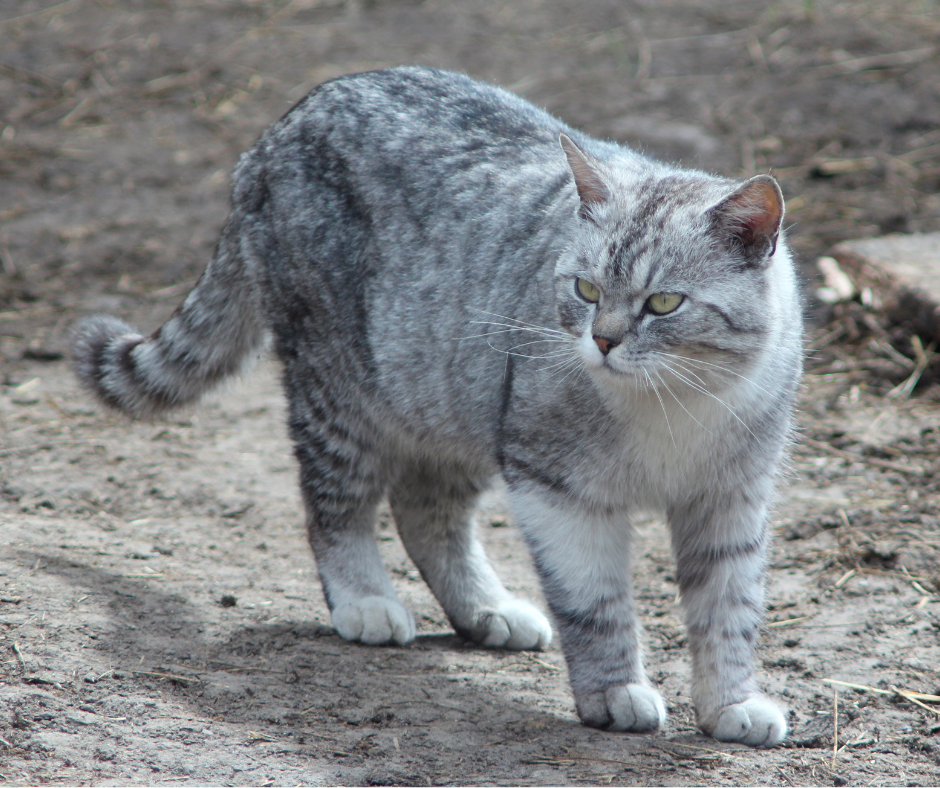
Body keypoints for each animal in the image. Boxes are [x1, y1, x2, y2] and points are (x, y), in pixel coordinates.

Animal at [72, 66, 802, 747]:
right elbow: (595, 603)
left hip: (452, 396)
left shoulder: (731, 498)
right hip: (342, 388)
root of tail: (282, 125)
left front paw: (731, 703)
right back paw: (366, 599)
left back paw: (485, 609)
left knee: (425, 510)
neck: (676, 404)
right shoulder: (558, 489)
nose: (602, 340)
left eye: (664, 303)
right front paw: (615, 691)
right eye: (586, 289)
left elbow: (728, 610)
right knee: (335, 504)